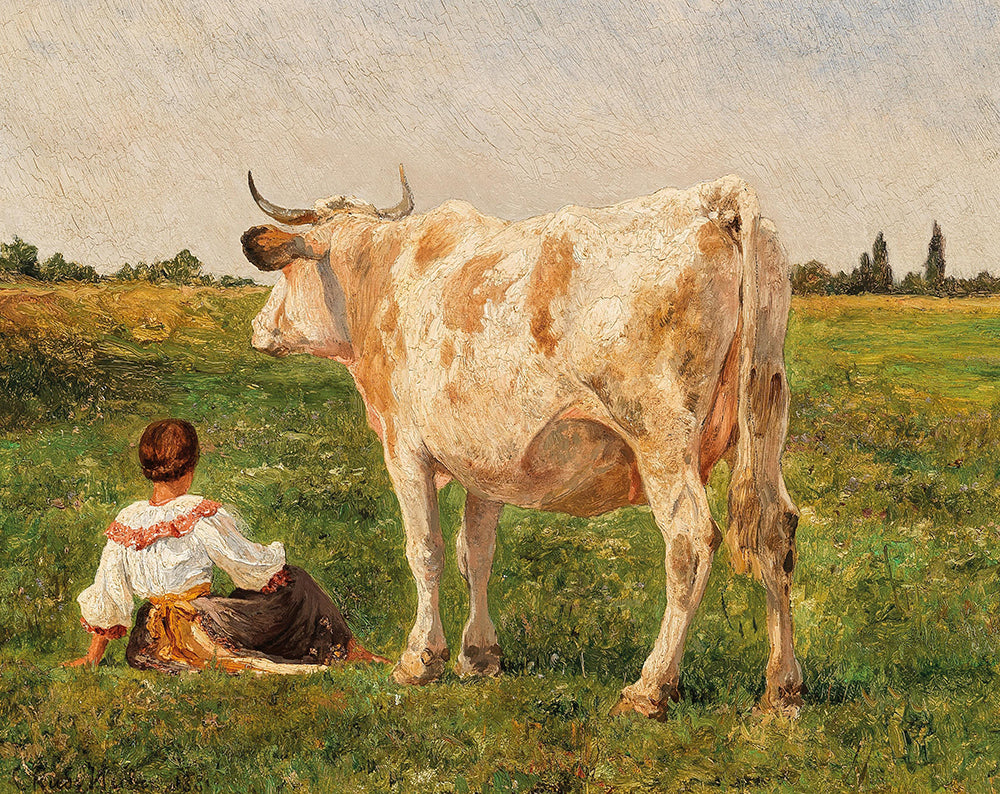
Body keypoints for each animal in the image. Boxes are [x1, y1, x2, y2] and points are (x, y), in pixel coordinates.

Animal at [241, 166, 802, 719]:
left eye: (287, 271)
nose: (258, 327)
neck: (381, 279)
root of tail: (712, 198)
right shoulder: (486, 460)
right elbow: (476, 552)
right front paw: (479, 655)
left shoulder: (405, 447)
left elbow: (426, 550)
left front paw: (421, 658)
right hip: (765, 417)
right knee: (775, 530)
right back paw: (782, 689)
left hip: (661, 435)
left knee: (689, 541)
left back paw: (651, 687)